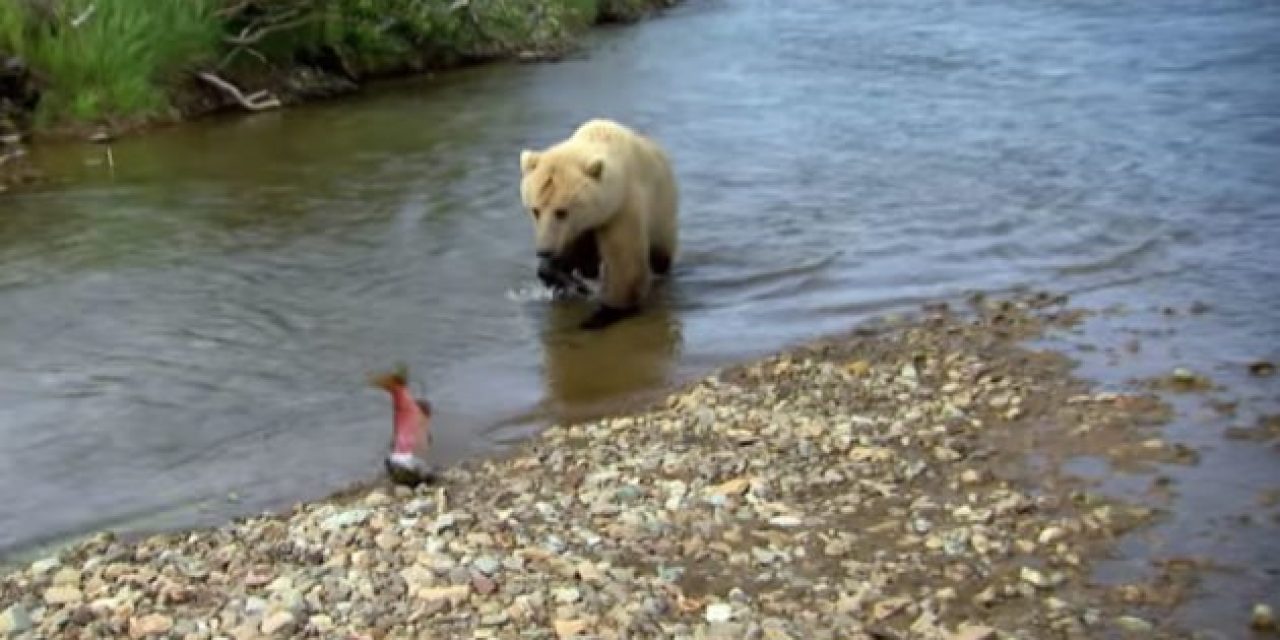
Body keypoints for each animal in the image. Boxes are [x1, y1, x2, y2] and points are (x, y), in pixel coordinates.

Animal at [517, 119, 680, 330]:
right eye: (535, 210)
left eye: (561, 211)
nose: (543, 251)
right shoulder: (577, 227)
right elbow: (566, 253)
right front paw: (564, 279)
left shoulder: (622, 210)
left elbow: (625, 266)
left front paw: (604, 313)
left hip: (662, 210)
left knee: (660, 256)